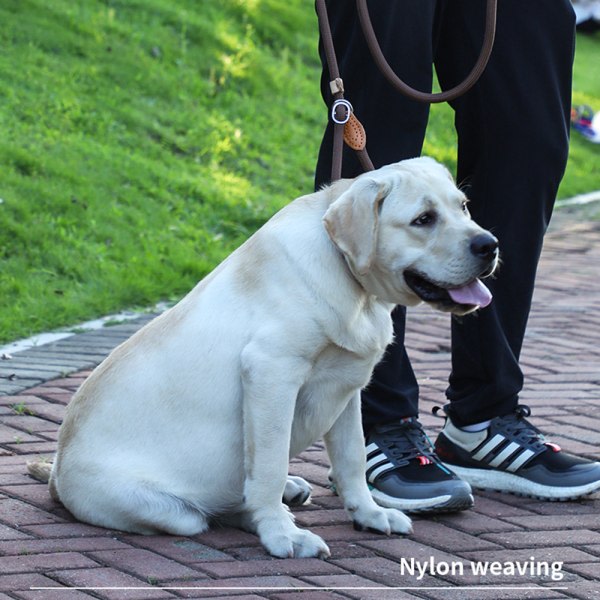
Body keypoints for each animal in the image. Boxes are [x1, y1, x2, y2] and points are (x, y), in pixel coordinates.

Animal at [29, 158, 496, 556]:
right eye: (423, 219)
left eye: (463, 206)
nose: (489, 244)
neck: (353, 283)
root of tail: (55, 474)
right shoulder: (271, 373)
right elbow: (268, 465)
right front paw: (282, 534)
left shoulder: (347, 387)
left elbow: (352, 459)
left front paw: (369, 513)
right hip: (170, 511)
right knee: (209, 512)